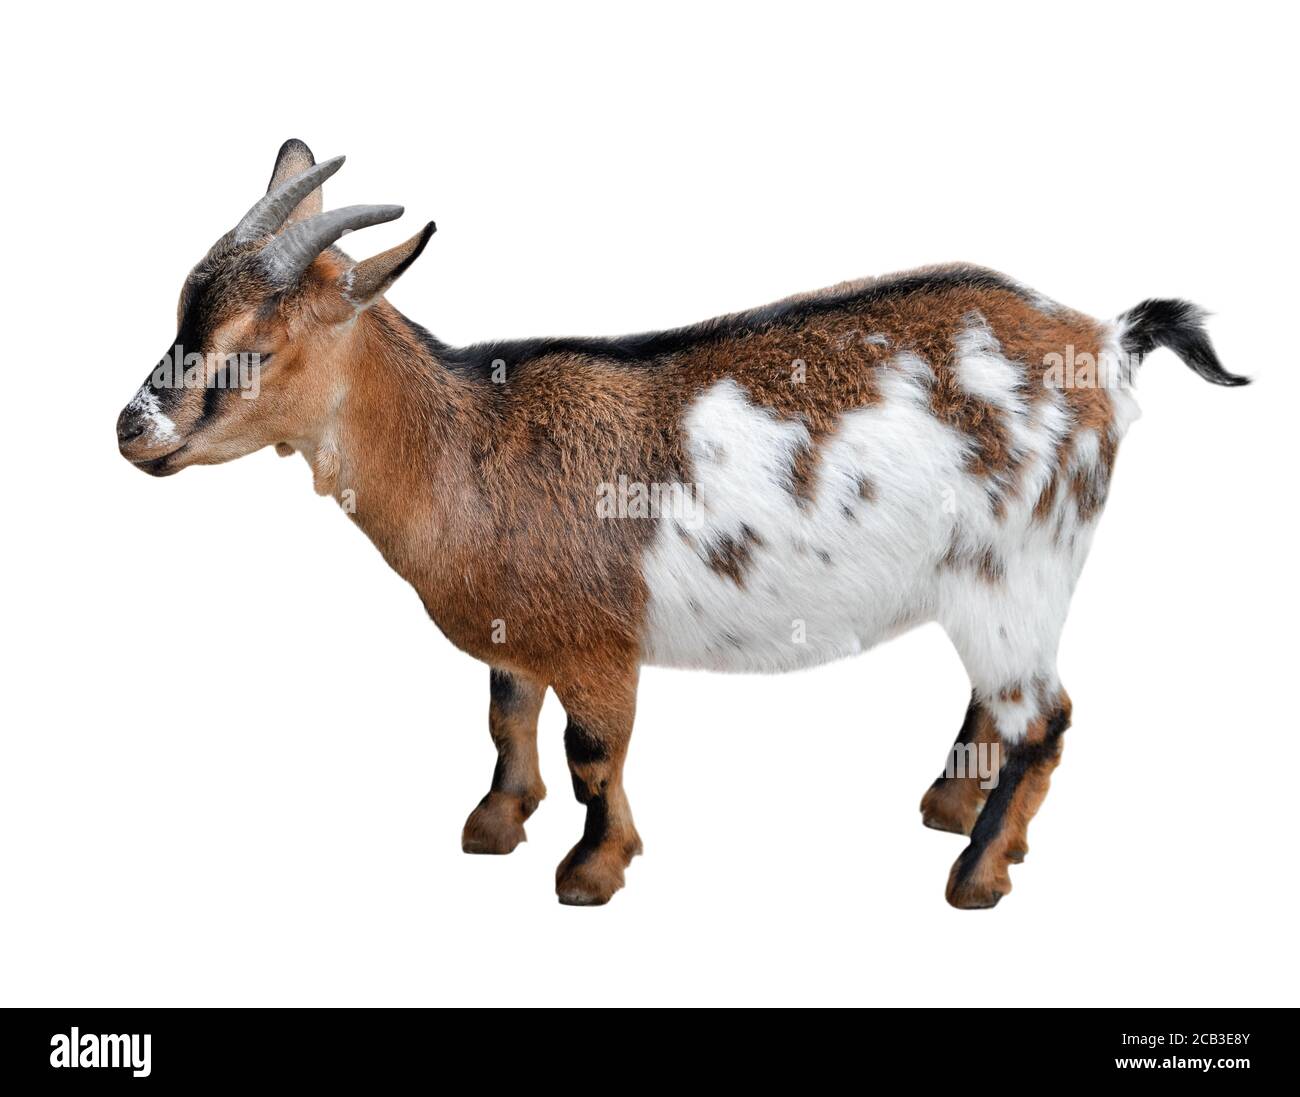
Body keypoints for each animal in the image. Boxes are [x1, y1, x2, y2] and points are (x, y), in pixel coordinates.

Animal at [117, 141, 1248, 907]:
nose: (133, 430)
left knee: (1045, 718)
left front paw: (591, 868)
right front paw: (494, 823)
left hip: (1017, 565)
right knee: (1005, 702)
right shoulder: (518, 632)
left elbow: (593, 750)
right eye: (181, 314)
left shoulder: (597, 642)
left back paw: (974, 873)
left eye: (255, 349)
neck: (472, 441)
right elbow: (505, 716)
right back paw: (950, 807)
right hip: (992, 582)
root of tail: (1102, 339)